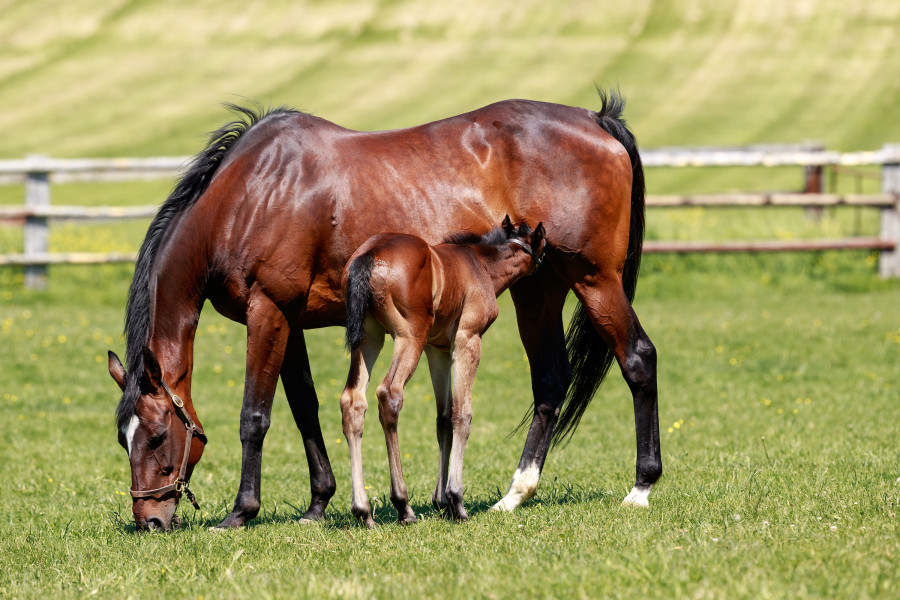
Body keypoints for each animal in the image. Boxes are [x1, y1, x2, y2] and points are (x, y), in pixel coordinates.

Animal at [340, 216, 544, 524]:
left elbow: (444, 417)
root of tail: (368, 256)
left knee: (353, 402)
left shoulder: (438, 350)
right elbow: (462, 414)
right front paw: (456, 501)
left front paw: (441, 501)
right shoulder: (467, 340)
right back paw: (403, 506)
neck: (481, 265)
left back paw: (363, 511)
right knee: (389, 395)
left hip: (370, 338)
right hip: (409, 336)